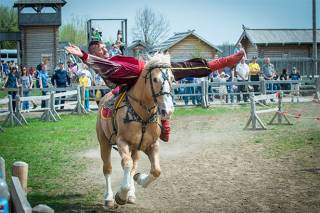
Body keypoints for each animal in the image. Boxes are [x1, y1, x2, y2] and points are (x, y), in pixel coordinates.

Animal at [95, 53, 175, 208]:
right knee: (108, 168)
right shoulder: (122, 142)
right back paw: (109, 198)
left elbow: (156, 171)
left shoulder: (152, 145)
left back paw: (131, 193)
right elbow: (126, 164)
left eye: (173, 78)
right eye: (155, 79)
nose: (167, 111)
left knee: (133, 167)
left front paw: (139, 180)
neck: (142, 116)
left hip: (135, 149)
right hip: (104, 142)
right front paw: (121, 195)